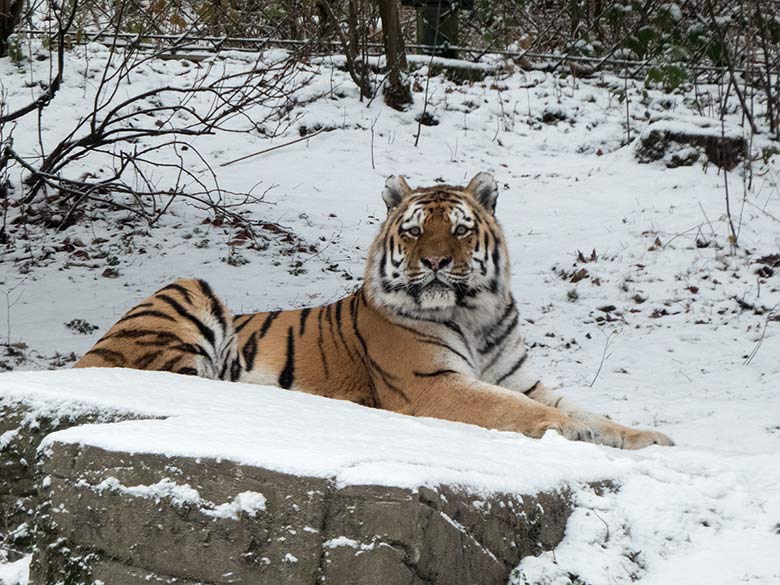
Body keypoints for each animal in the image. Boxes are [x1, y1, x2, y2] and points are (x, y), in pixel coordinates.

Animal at [77, 171, 676, 450]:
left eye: (460, 230)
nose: (434, 261)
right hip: (188, 290)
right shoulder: (434, 384)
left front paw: (647, 437)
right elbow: (516, 411)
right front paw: (571, 433)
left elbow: (588, 410)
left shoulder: (523, 379)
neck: (476, 316)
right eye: (413, 231)